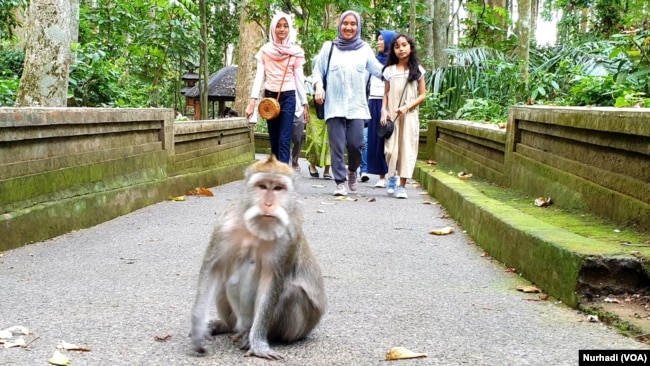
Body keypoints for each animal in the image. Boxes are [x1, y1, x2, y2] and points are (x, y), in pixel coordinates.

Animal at [190, 154, 326, 360]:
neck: (257, 229)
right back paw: (225, 325)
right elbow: (212, 269)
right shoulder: (224, 225)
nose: (268, 204)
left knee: (292, 293)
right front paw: (198, 329)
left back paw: (253, 335)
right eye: (262, 186)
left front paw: (259, 344)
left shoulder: (288, 237)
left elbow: (272, 282)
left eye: (278, 188)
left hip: (302, 327)